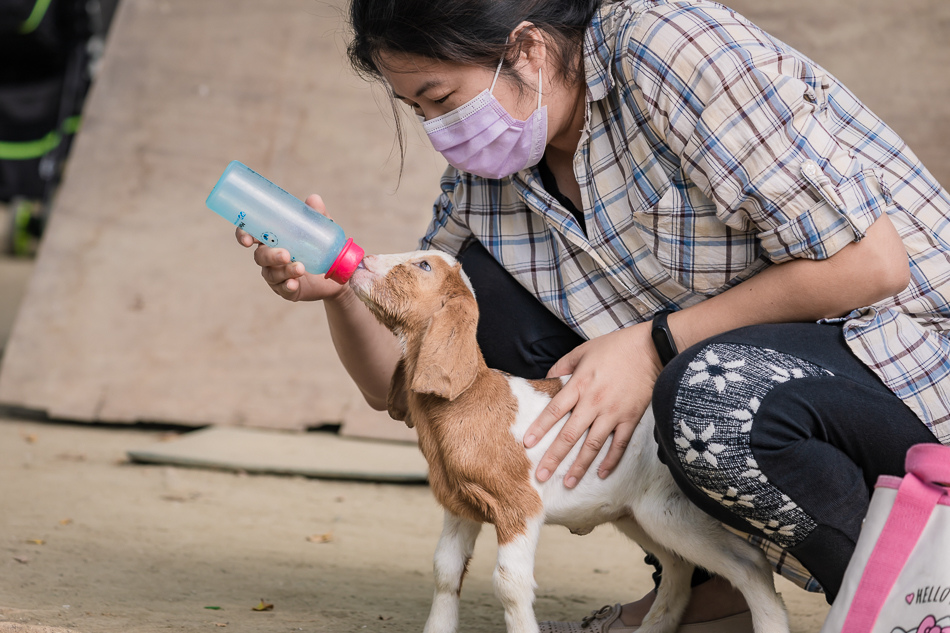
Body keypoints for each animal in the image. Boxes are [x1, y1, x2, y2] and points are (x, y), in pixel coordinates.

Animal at [348, 249, 788, 628]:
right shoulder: (461, 505)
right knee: (678, 568)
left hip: (669, 509)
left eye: (423, 265)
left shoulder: (520, 507)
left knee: (748, 563)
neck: (469, 399)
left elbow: (509, 584)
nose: (363, 261)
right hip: (634, 513)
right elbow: (445, 571)